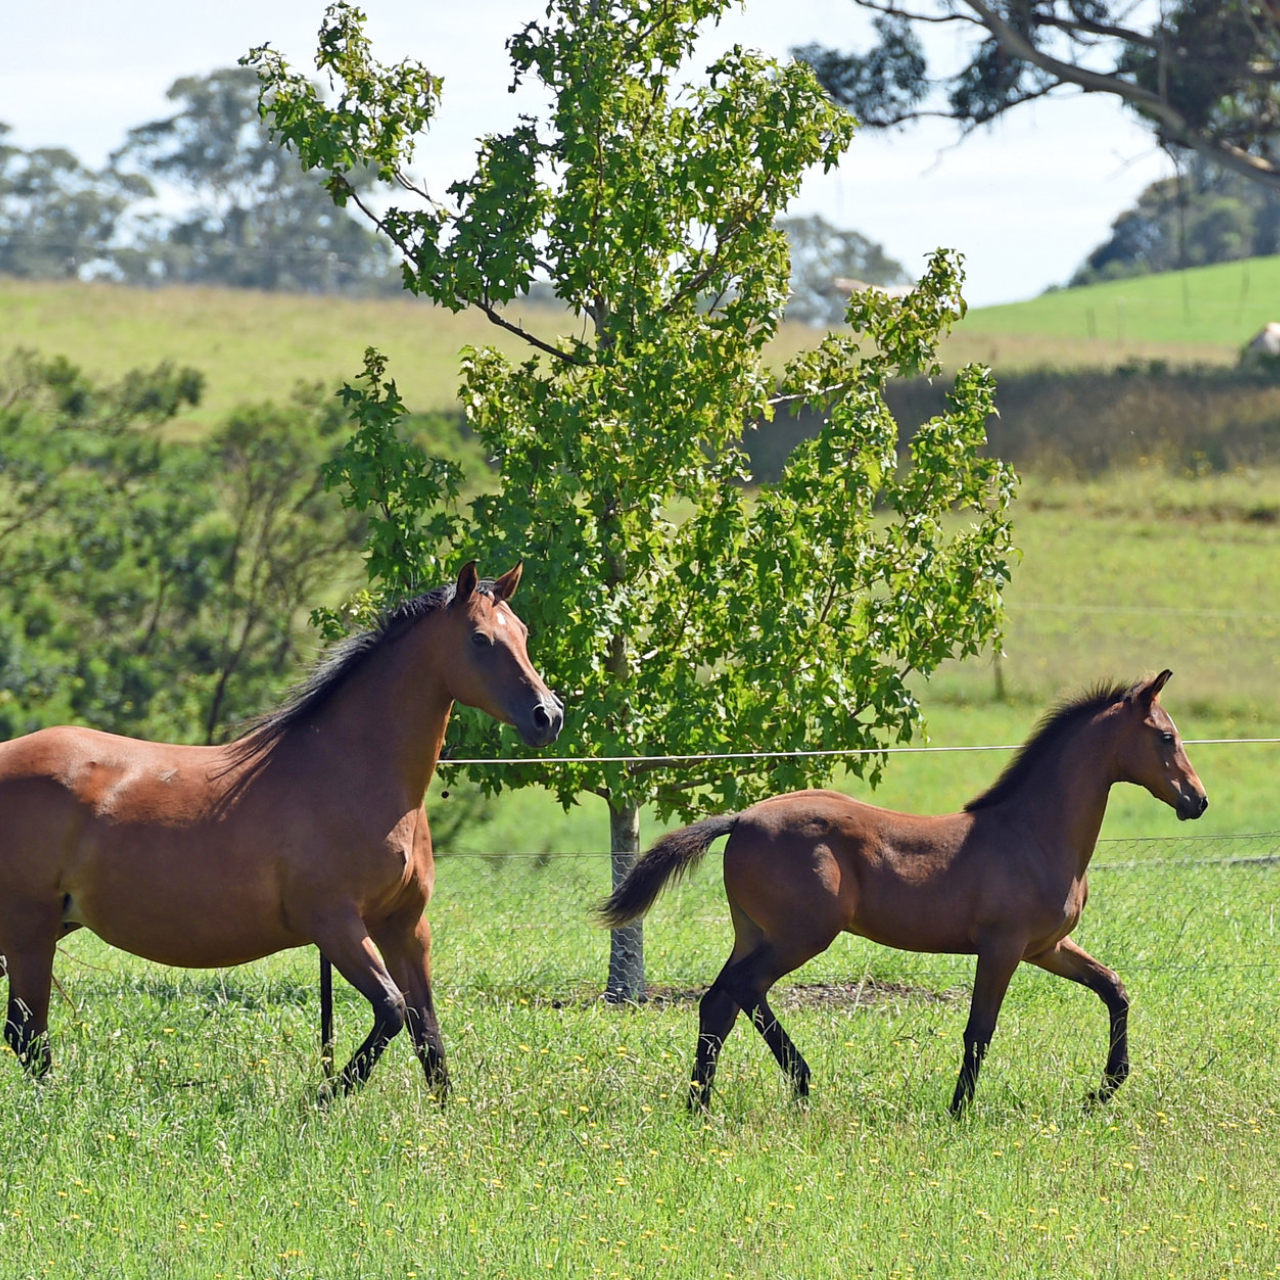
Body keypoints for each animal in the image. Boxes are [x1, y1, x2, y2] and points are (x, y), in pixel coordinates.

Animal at [0, 565, 565, 1095]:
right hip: (30, 929)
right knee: (27, 1034)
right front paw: (321, 1097)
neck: (352, 771)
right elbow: (392, 1009)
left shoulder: (405, 927)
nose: (549, 716)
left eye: (523, 632)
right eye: (479, 638)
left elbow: (428, 1034)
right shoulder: (335, 923)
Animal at [604, 675, 1203, 1116]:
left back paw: (700, 1104)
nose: (1196, 800)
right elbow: (979, 1031)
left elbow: (1114, 989)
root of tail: (742, 819)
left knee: (718, 1002)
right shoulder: (1003, 948)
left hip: (754, 932)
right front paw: (958, 1112)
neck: (1032, 833)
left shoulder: (1046, 948)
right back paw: (800, 1083)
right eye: (1165, 737)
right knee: (744, 990)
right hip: (802, 936)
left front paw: (1103, 1090)